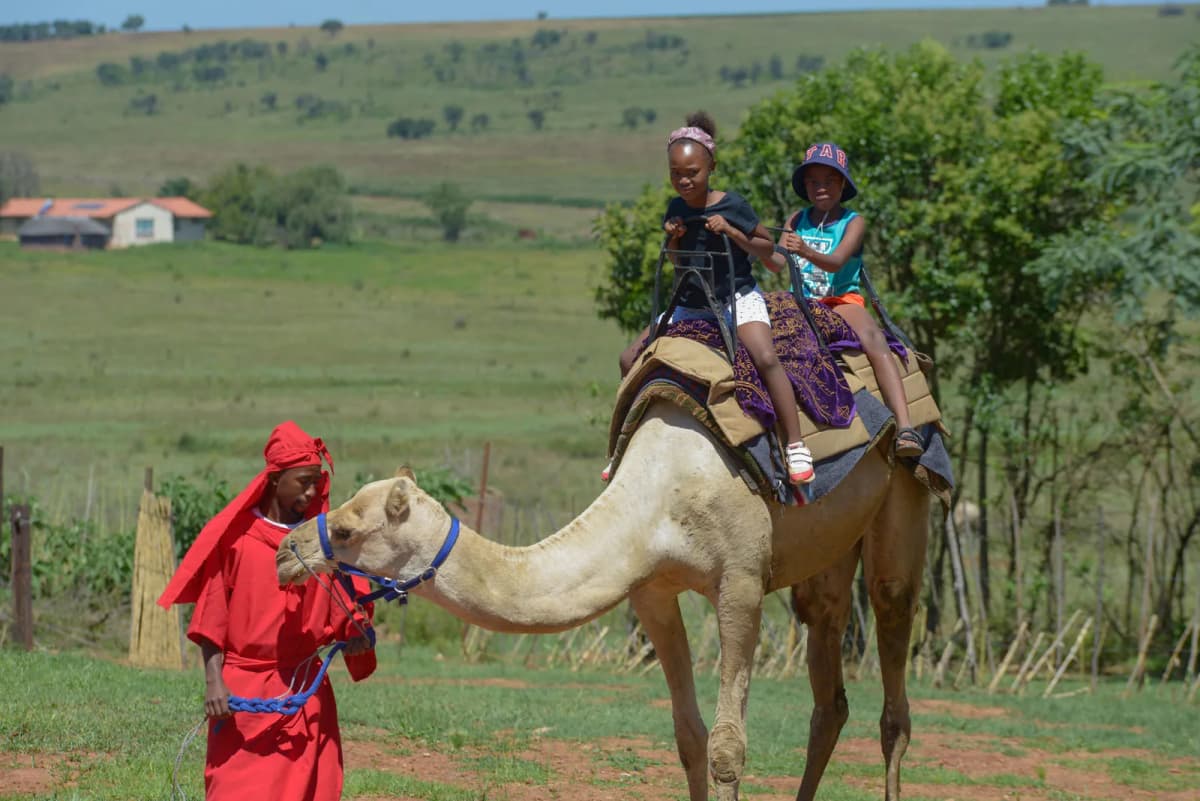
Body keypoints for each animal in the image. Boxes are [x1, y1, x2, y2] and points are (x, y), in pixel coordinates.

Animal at [276, 401, 930, 801]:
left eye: (348, 529)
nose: (286, 550)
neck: (659, 500)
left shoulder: (741, 583)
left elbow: (726, 745)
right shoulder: (651, 593)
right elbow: (688, 735)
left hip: (904, 493)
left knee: (893, 650)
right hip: (829, 549)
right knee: (828, 679)